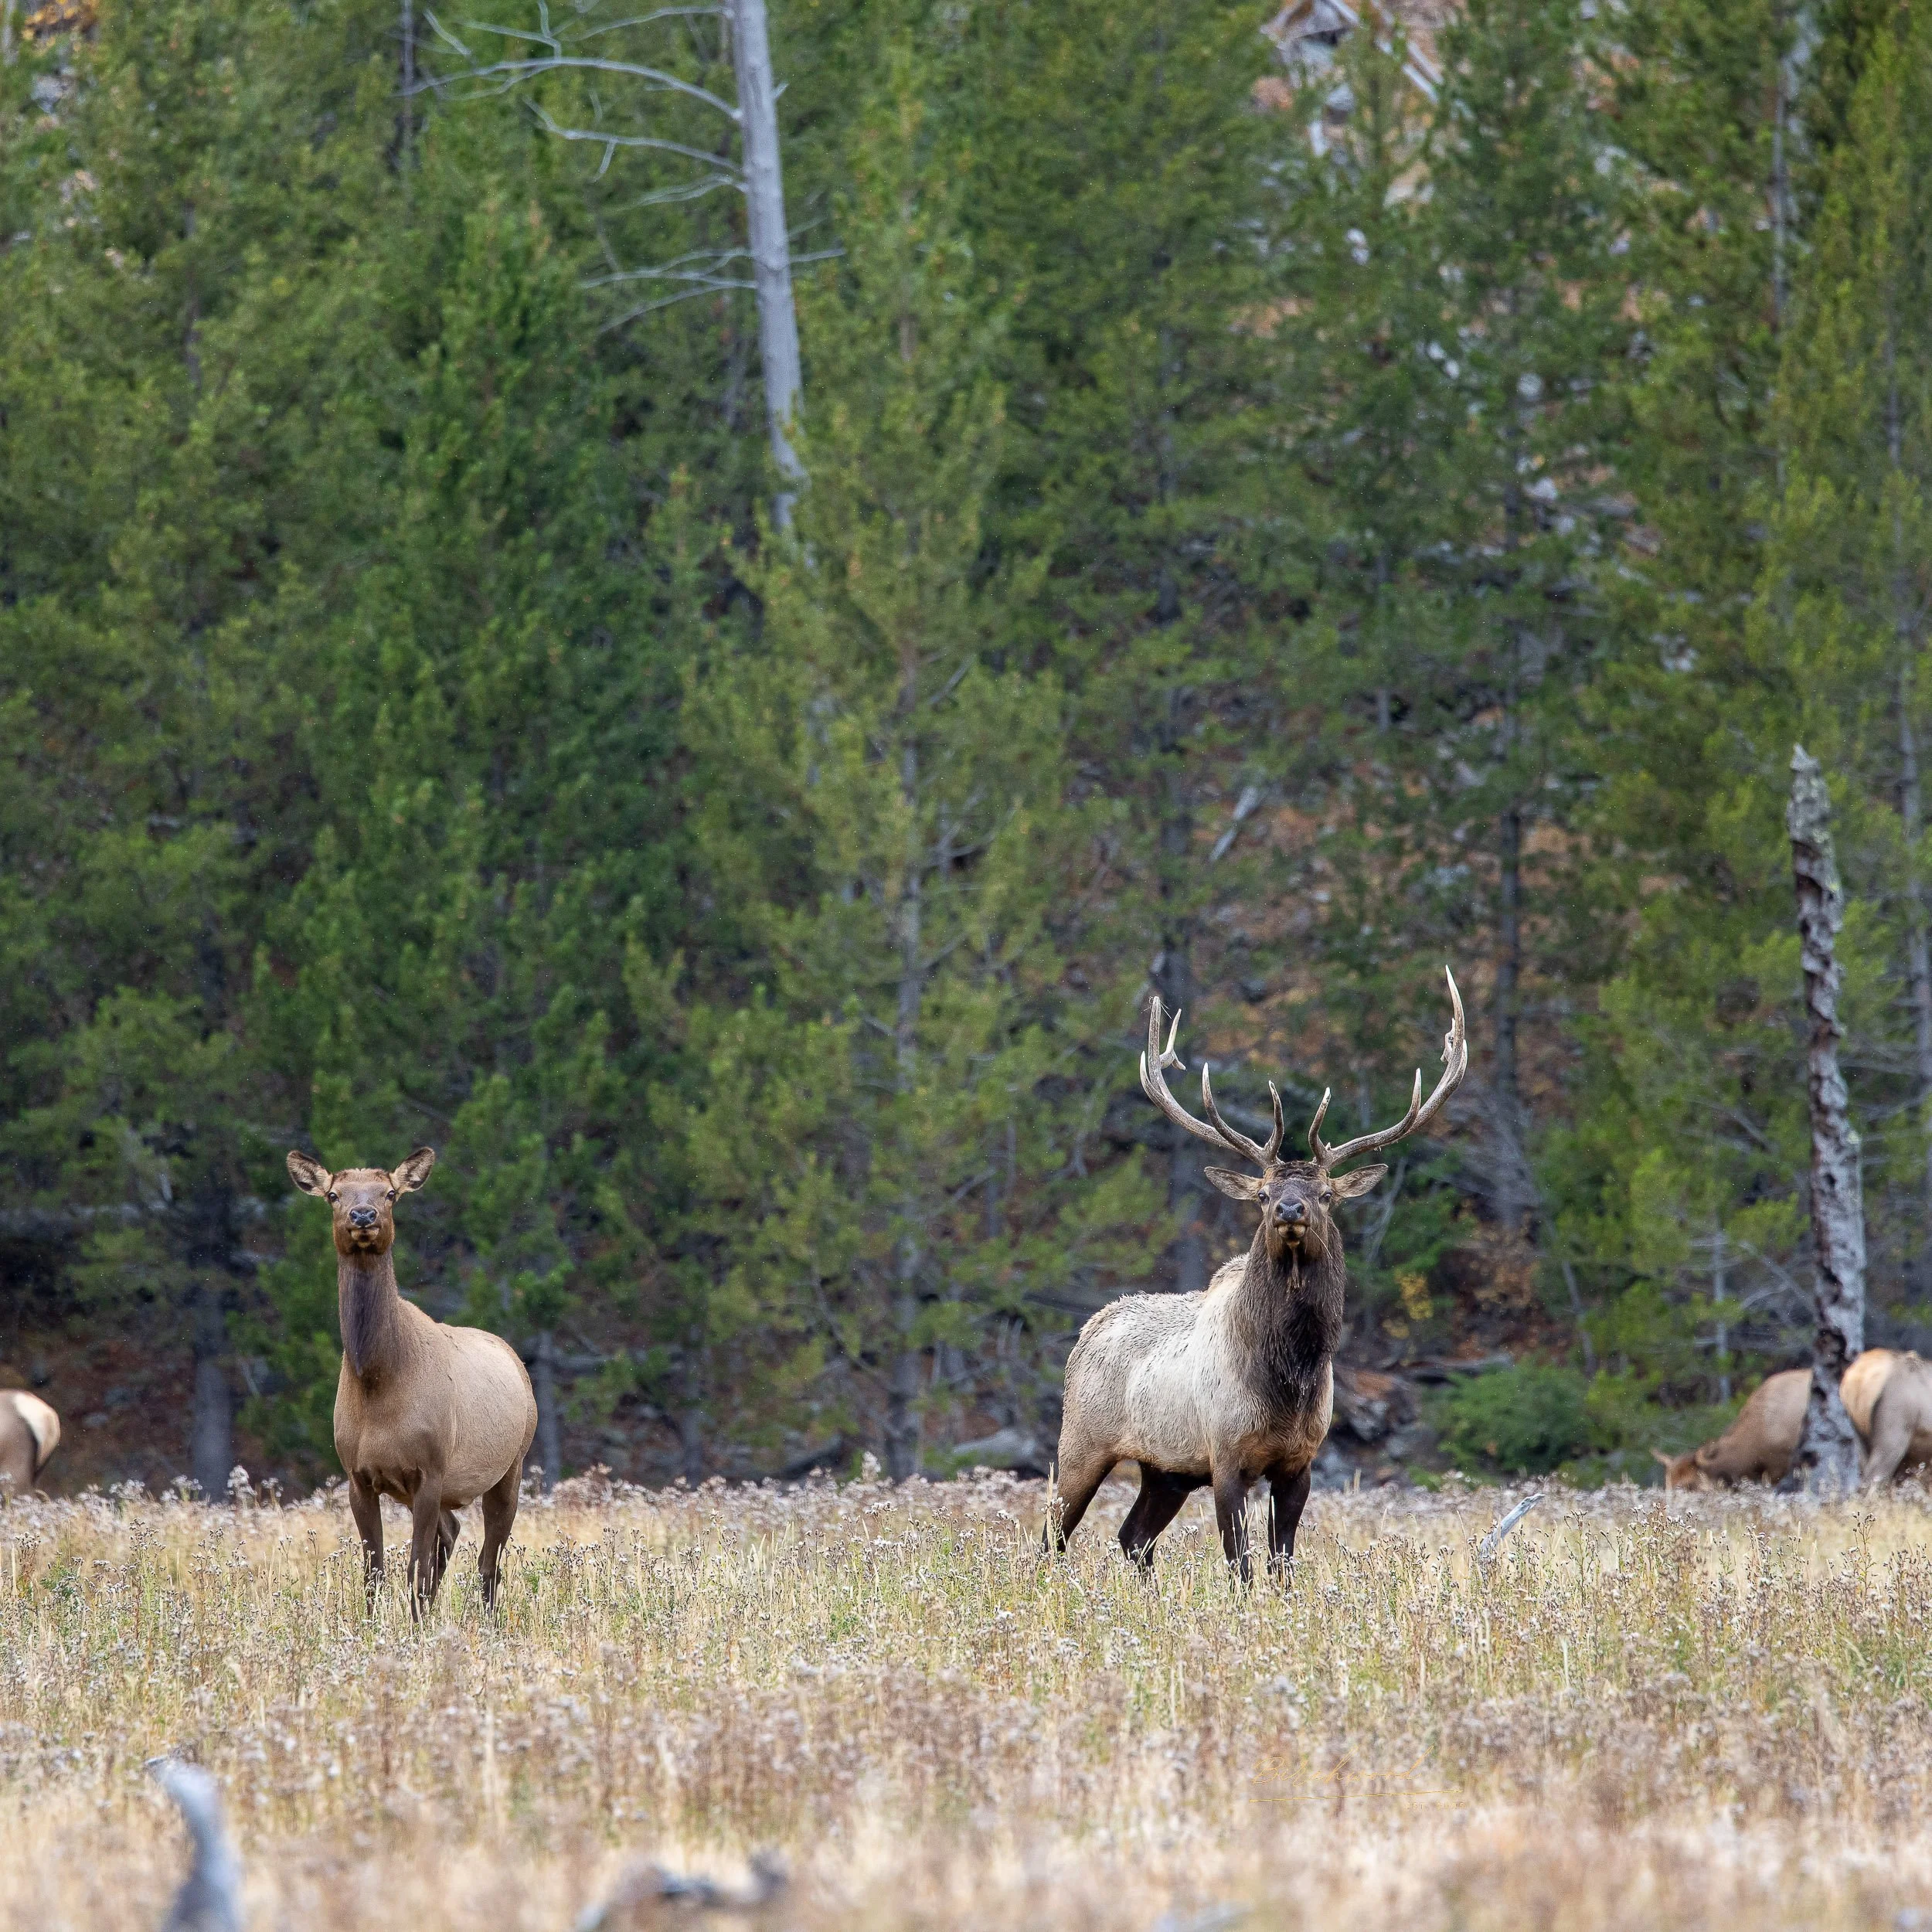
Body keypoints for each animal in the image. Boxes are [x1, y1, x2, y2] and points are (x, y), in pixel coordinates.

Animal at [286, 1147, 538, 1614]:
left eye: (390, 1193)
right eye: (333, 1194)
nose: (363, 1215)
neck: (378, 1384)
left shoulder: (430, 1469)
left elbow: (415, 1568)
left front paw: (415, 1625)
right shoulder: (357, 1476)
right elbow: (375, 1572)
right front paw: (375, 1625)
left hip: (511, 1464)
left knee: (489, 1561)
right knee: (452, 1533)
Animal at [1047, 967, 1467, 1584]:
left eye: (1325, 1194)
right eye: (1264, 1193)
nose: (1289, 1209)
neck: (1288, 1380)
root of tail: (1088, 1330)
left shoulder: (1300, 1462)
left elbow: (1283, 1563)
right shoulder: (1226, 1457)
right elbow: (1241, 1565)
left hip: (1165, 1469)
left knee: (1133, 1538)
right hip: (1081, 1441)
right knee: (1053, 1535)